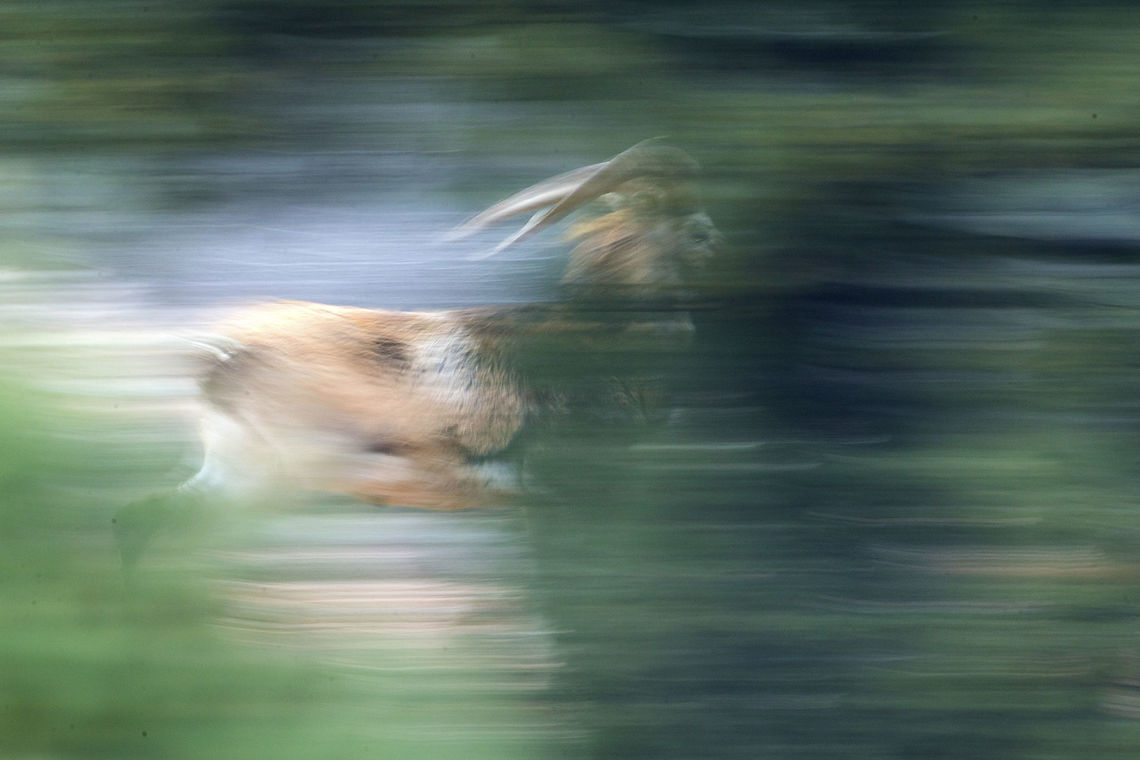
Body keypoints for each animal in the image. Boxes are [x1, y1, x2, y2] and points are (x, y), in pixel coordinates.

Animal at [115, 140, 720, 566]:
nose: (716, 241)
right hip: (296, 470)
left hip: (240, 473)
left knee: (149, 516)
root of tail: (218, 362)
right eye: (693, 229)